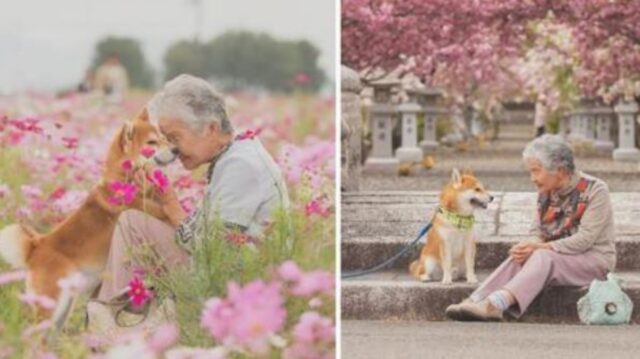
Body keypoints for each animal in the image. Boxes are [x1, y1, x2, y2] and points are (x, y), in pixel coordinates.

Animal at [0, 109, 171, 332]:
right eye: (152, 142)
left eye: (163, 138)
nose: (176, 148)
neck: (123, 183)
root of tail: (37, 245)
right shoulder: (150, 210)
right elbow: (166, 213)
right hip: (49, 306)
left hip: (62, 310)